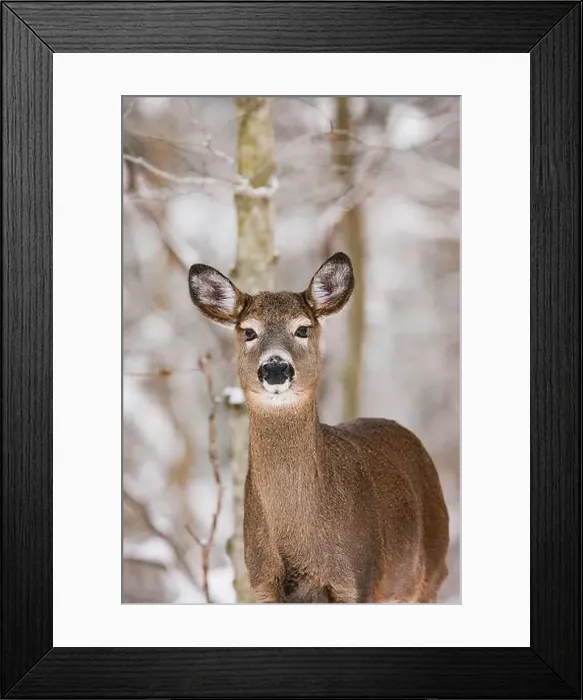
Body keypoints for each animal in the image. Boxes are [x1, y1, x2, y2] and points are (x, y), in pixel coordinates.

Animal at [188, 252, 450, 603]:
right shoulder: (261, 584)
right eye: (249, 332)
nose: (275, 368)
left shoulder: (357, 581)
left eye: (302, 328)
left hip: (430, 572)